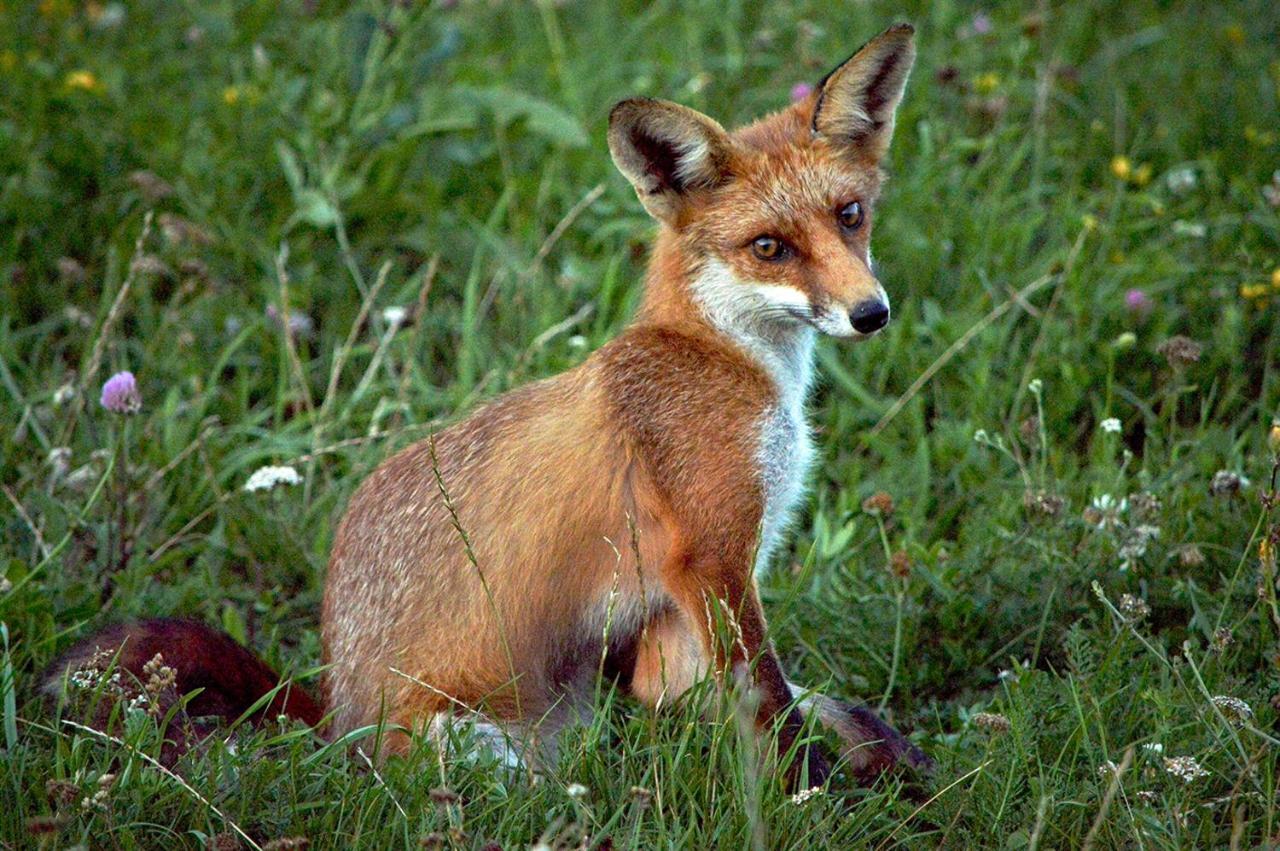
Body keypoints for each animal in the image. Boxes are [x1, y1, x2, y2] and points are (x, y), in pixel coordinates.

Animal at [47, 21, 931, 788]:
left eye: (850, 216)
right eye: (769, 247)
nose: (872, 312)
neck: (721, 361)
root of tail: (336, 722)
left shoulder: (678, 611)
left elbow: (781, 698)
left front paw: (882, 752)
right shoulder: (709, 558)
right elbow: (771, 707)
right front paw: (808, 795)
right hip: (487, 743)